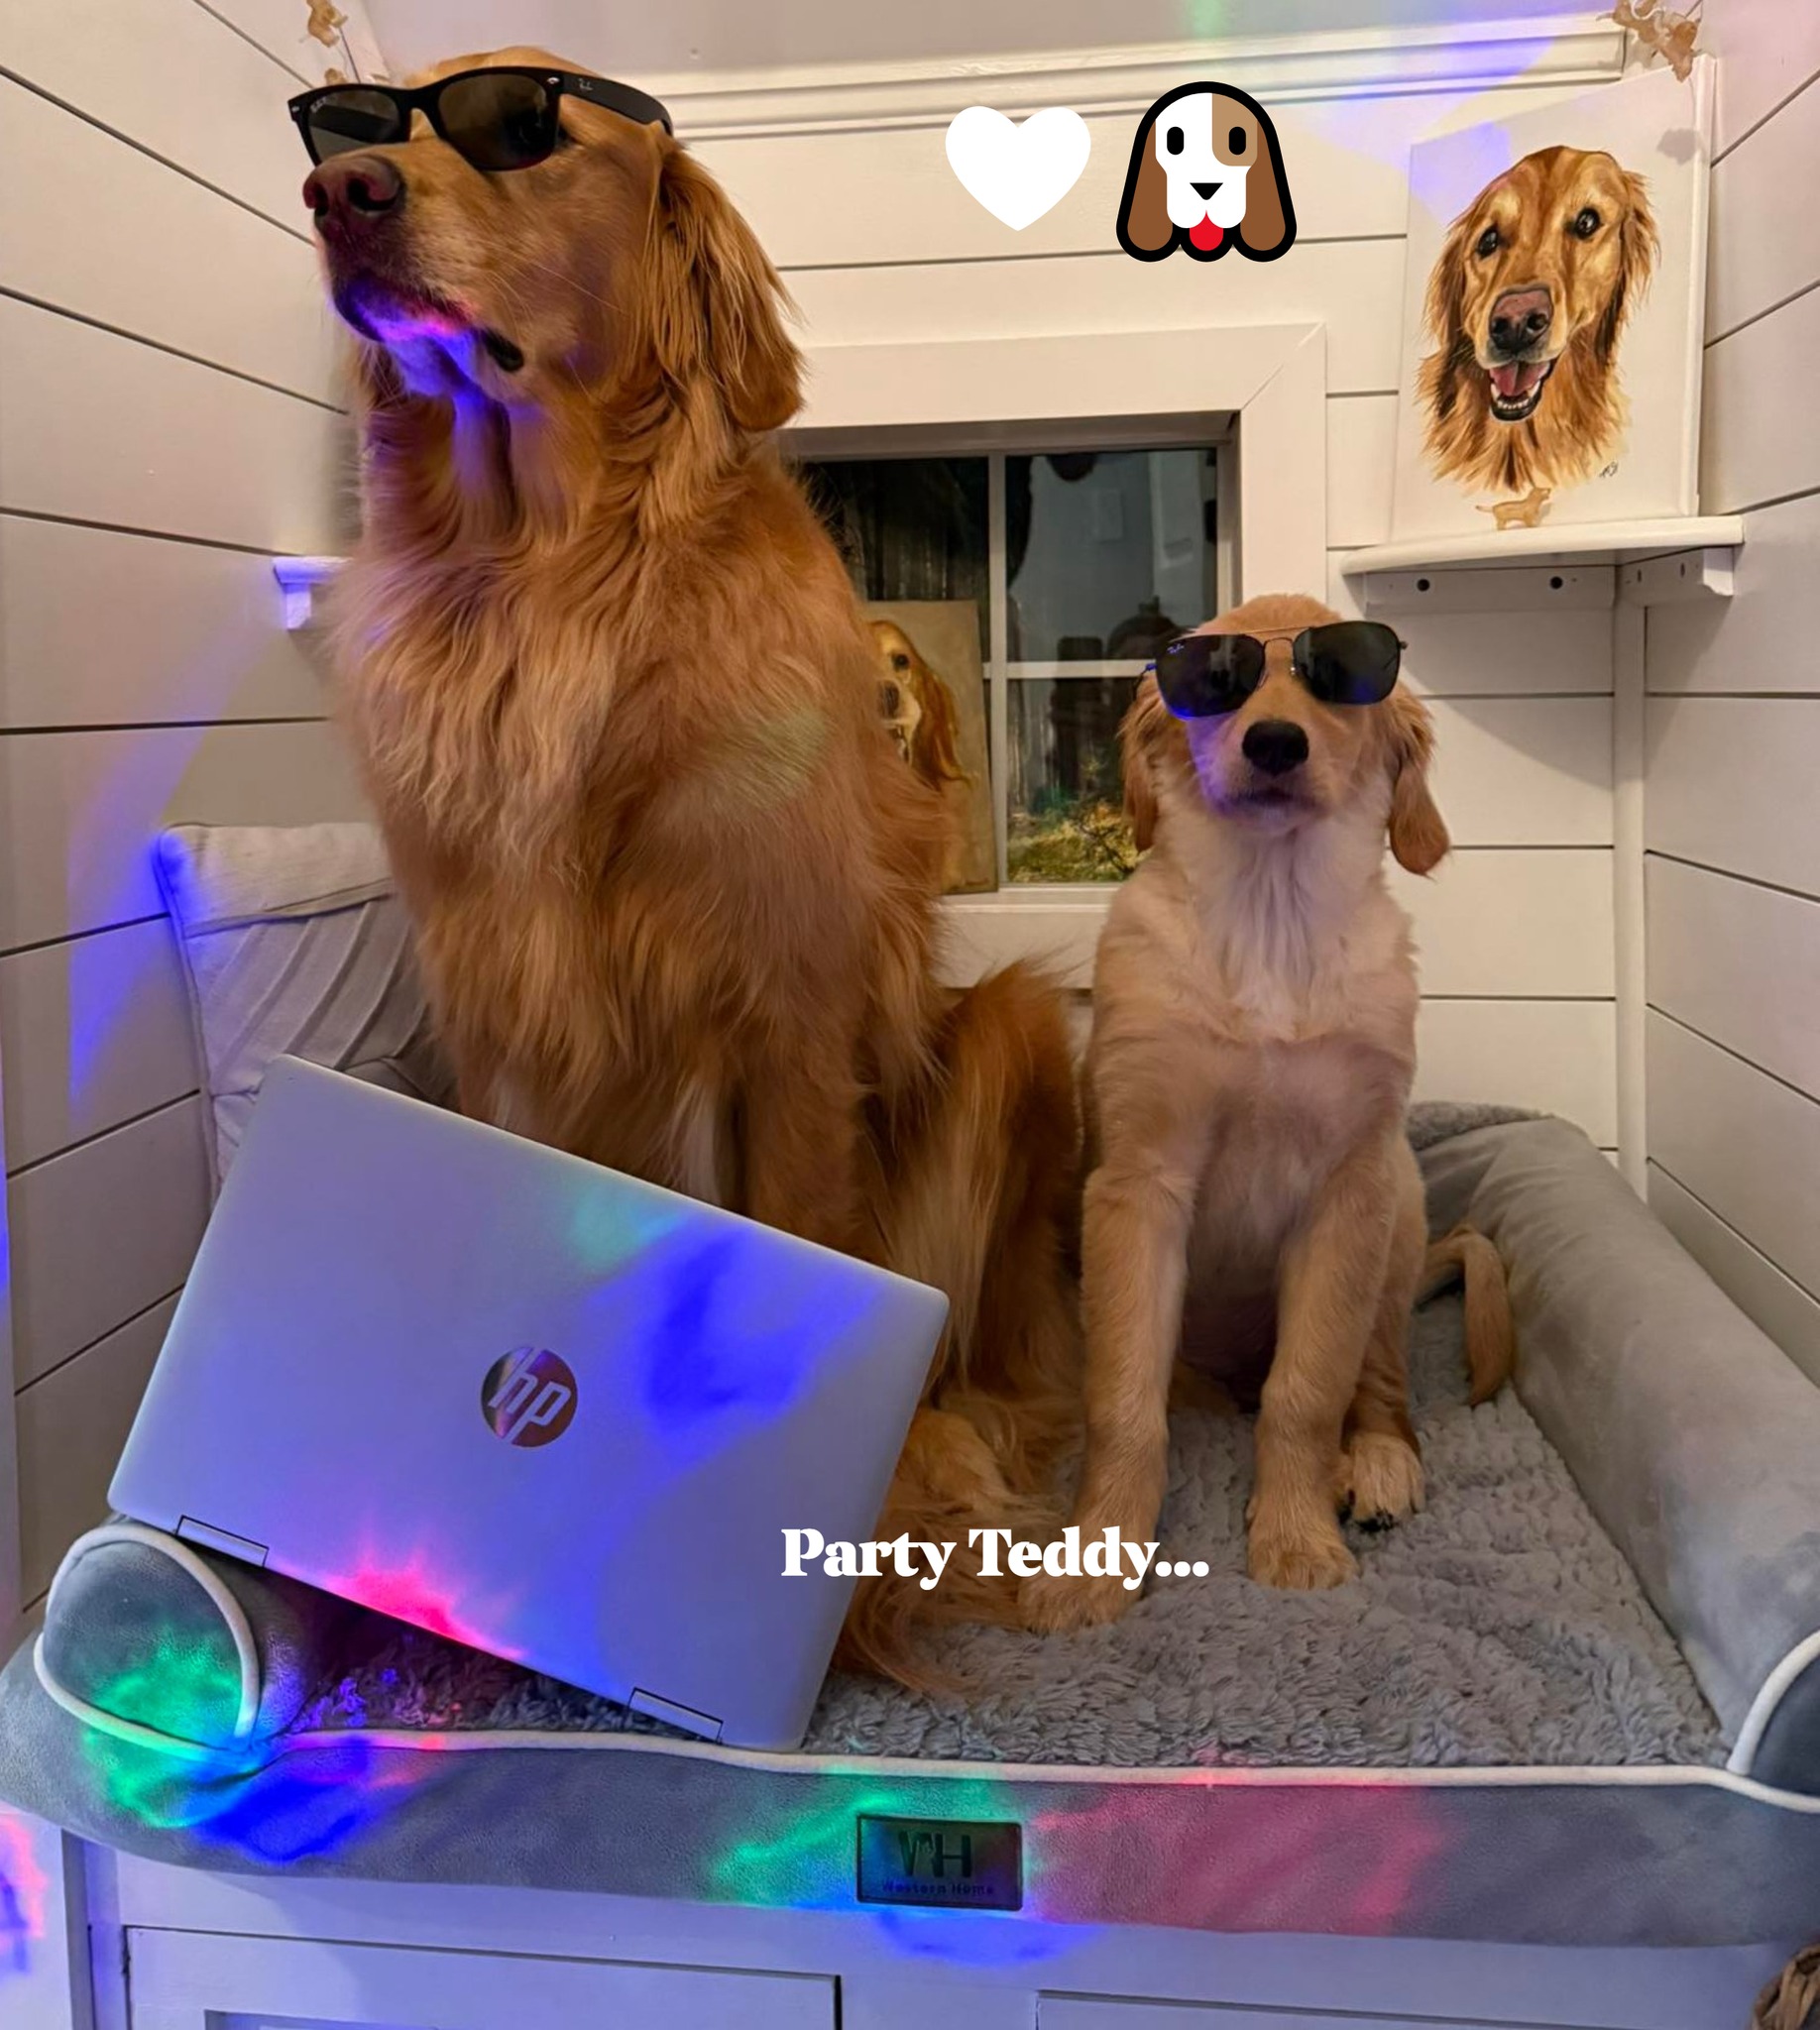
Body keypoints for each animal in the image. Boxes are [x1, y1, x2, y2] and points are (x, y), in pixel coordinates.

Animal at [305, 48, 1080, 1676]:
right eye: (349, 119)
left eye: (519, 126)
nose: (337, 189)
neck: (545, 578)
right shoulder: (499, 1015)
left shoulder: (786, 1016)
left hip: (1015, 1032)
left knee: (1006, 1376)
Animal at [1023, 594, 1512, 1630]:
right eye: (1215, 677)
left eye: (1342, 676)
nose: (1277, 743)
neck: (1270, 917)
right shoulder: (1138, 1187)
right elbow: (1122, 1403)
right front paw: (1096, 1559)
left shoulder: (1345, 1194)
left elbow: (1307, 1391)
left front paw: (1293, 1540)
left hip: (1398, 1209)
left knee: (1379, 1383)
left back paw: (1375, 1465)